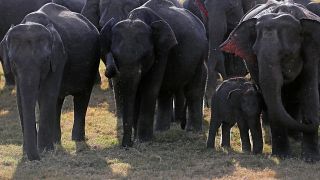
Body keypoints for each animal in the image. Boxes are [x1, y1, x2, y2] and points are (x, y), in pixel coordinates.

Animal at [0, 2, 100, 160]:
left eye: (45, 60)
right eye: (13, 62)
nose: (35, 158)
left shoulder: (59, 57)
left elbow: (47, 94)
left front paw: (44, 151)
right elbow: (20, 99)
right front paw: (30, 152)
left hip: (91, 64)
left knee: (81, 97)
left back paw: (77, 140)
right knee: (58, 101)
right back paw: (56, 141)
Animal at [101, 0, 209, 147]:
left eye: (145, 56)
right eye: (113, 54)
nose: (127, 146)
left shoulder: (162, 50)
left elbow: (149, 89)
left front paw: (143, 140)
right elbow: (136, 92)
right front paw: (137, 138)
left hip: (200, 57)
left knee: (193, 90)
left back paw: (192, 132)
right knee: (165, 93)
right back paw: (162, 131)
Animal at [221, 0, 320, 160]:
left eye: (287, 55)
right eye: (255, 53)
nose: (310, 121)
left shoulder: (312, 54)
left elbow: (309, 91)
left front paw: (310, 159)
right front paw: (282, 156)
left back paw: (295, 137)